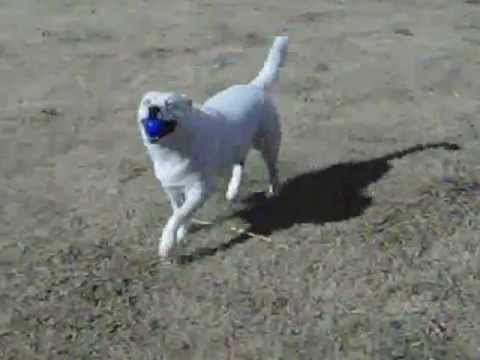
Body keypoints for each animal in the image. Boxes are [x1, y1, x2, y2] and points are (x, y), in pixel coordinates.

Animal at [137, 35, 290, 258]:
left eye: (170, 104)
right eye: (147, 102)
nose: (153, 109)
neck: (172, 150)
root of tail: (253, 87)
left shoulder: (200, 189)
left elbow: (178, 216)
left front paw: (167, 243)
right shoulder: (173, 189)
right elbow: (179, 212)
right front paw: (181, 233)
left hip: (266, 142)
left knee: (272, 166)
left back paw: (274, 189)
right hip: (236, 144)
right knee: (240, 162)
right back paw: (233, 189)